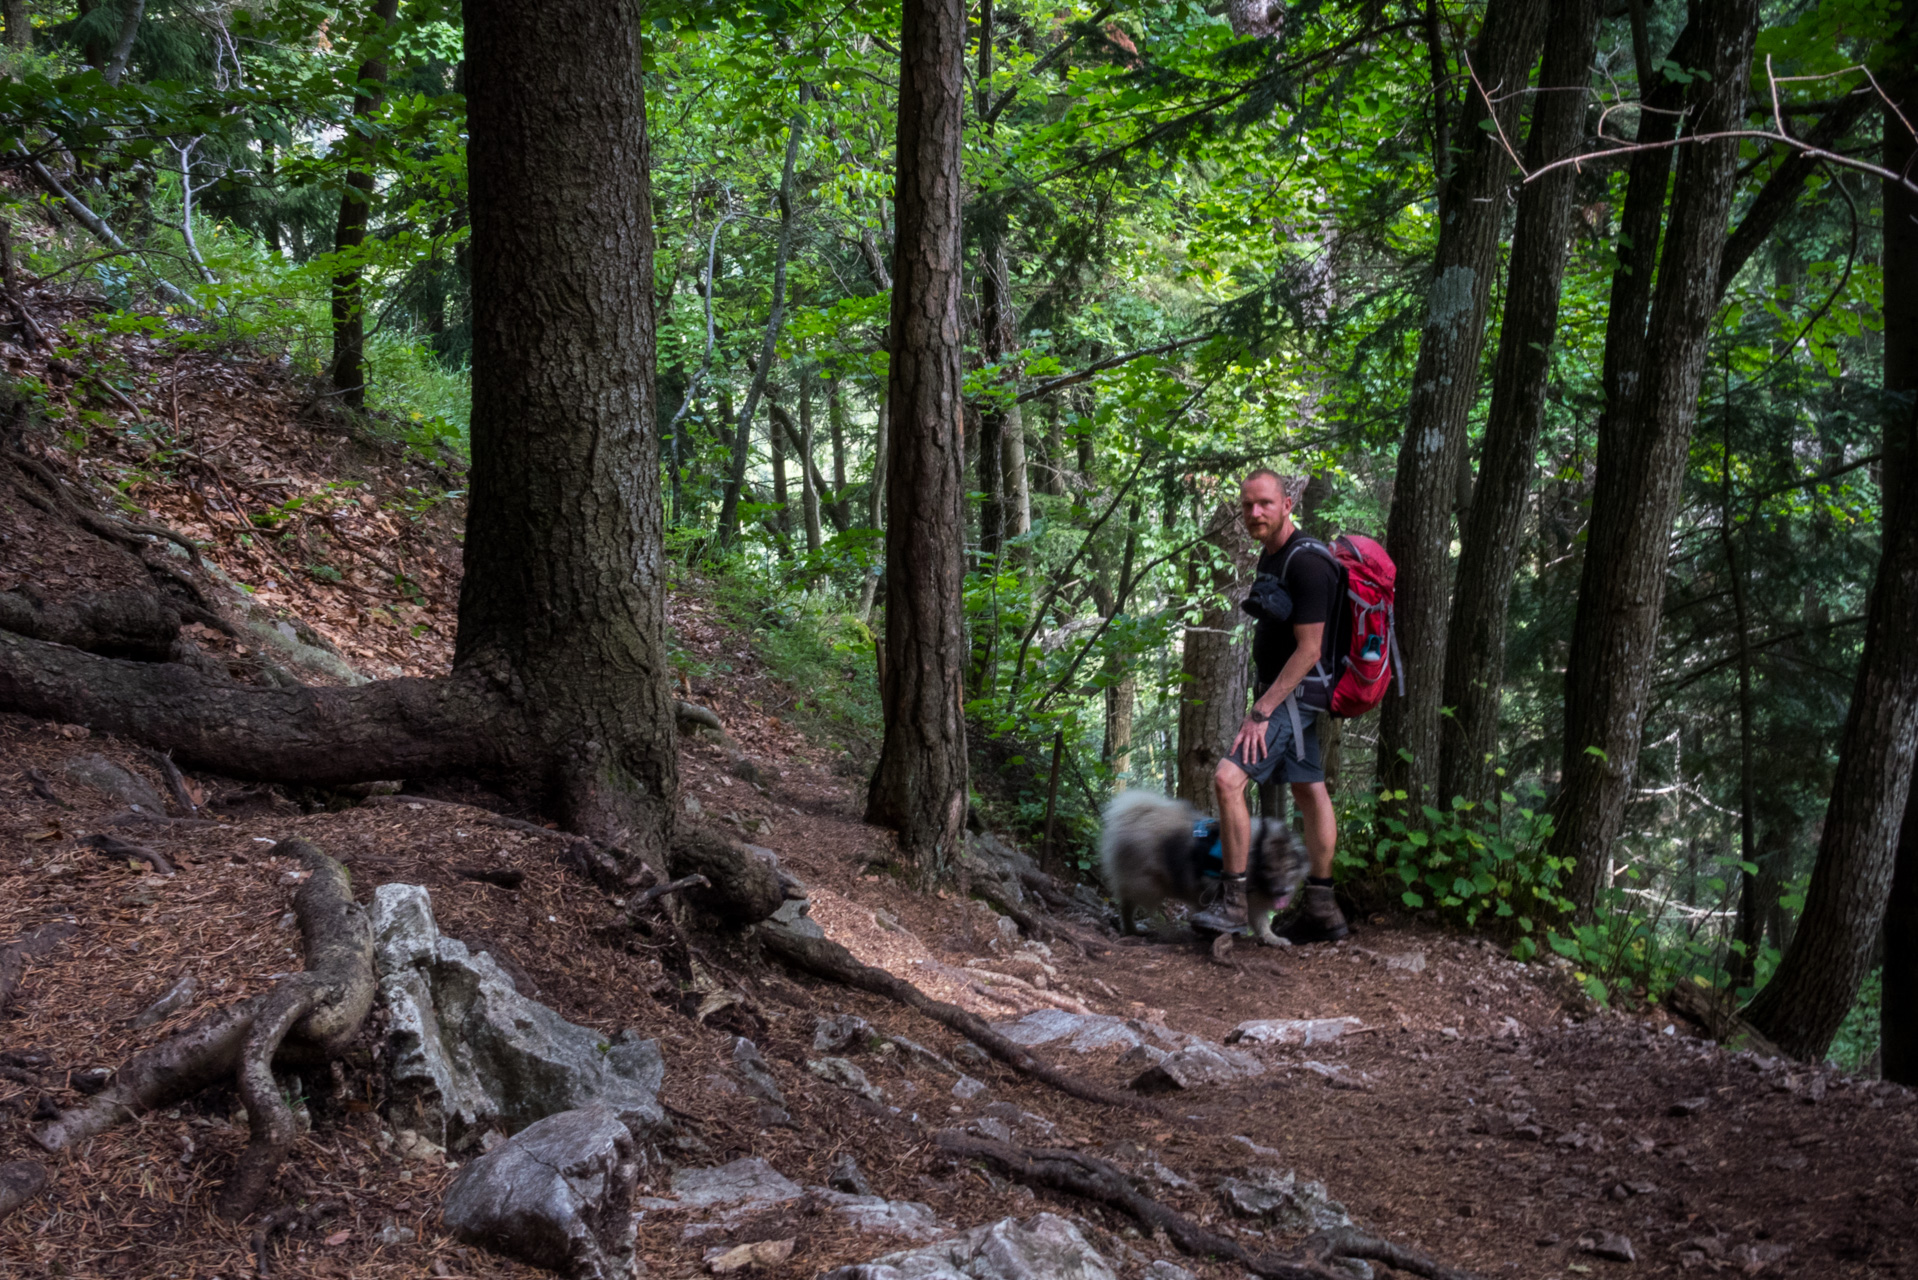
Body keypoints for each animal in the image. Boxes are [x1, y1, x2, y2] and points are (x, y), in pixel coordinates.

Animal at [1104, 790, 1311, 940]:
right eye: (1269, 869)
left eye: (1289, 868)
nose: (1282, 891)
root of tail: (1136, 816)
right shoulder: (1209, 890)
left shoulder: (1255, 903)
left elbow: (1261, 922)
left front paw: (1271, 938)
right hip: (1145, 884)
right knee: (1127, 904)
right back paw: (1131, 929)